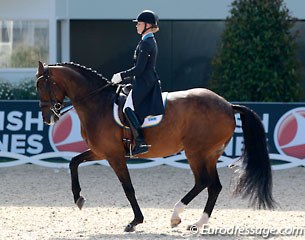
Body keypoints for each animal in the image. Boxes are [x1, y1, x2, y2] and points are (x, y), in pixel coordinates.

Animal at [35, 62, 274, 232]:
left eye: (42, 85)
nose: (47, 118)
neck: (98, 104)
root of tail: (228, 105)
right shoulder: (101, 152)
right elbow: (73, 162)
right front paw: (78, 198)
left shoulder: (114, 155)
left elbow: (128, 188)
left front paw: (135, 221)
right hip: (209, 154)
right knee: (213, 186)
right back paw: (198, 222)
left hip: (196, 152)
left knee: (203, 182)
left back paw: (176, 216)